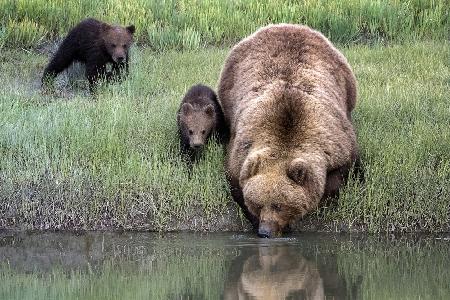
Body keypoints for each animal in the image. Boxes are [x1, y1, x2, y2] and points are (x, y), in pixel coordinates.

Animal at [216, 24, 360, 239]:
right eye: (259, 204)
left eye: (279, 205)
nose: (265, 232)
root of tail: (285, 25)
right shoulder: (241, 150)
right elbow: (237, 185)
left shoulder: (336, 141)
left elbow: (341, 172)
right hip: (228, 85)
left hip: (346, 81)